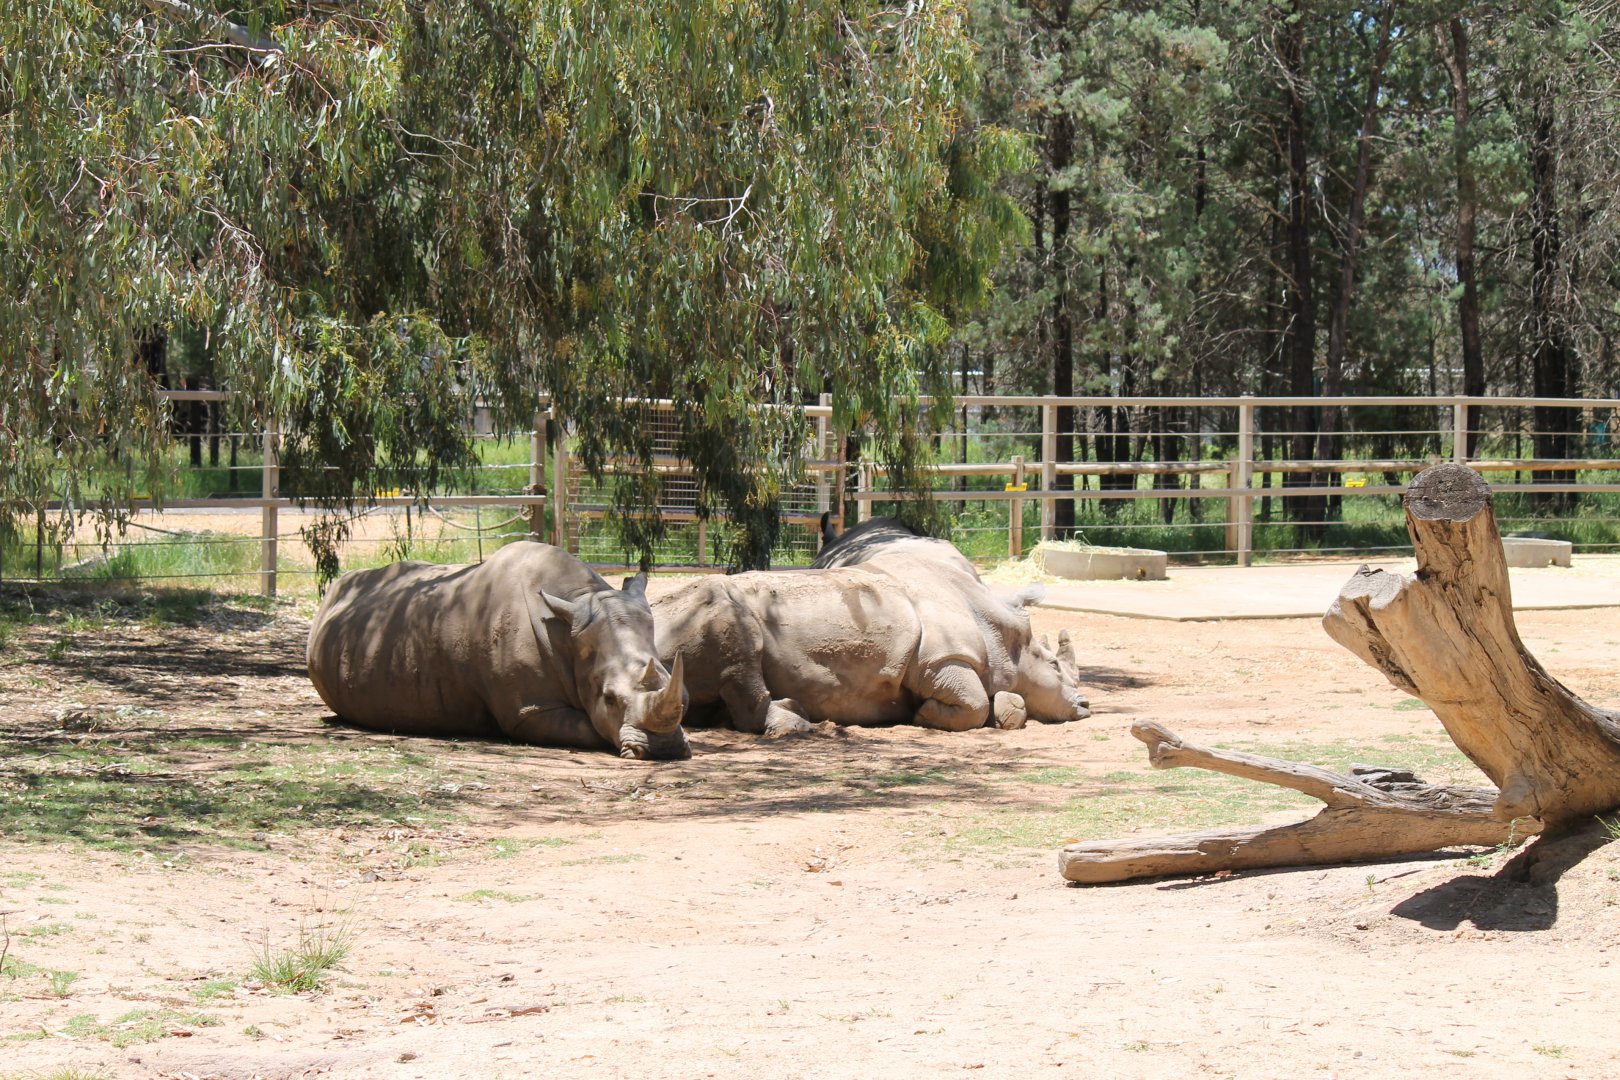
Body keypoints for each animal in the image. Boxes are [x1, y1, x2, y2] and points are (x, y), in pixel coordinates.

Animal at [652, 556, 1089, 738]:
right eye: (1054, 665)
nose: (1085, 704)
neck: (1004, 638)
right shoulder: (940, 659)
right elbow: (975, 702)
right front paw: (923, 715)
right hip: (711, 612)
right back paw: (796, 725)